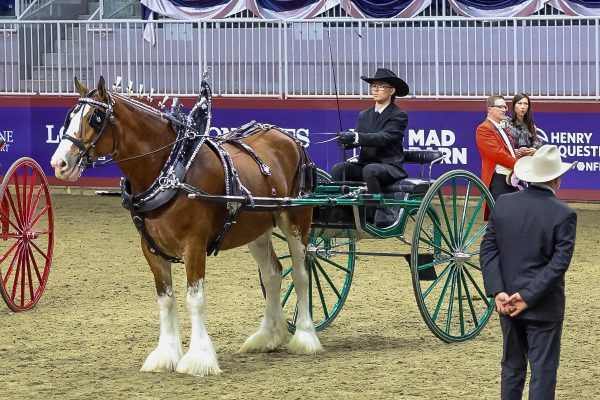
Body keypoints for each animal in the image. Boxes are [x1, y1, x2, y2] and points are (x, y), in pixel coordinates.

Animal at [50, 77, 324, 376]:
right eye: (70, 117)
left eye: (95, 118)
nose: (59, 164)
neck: (171, 171)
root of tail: (288, 138)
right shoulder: (151, 249)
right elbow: (166, 300)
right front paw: (166, 354)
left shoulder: (194, 245)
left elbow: (195, 298)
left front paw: (198, 358)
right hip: (258, 228)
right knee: (273, 274)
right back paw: (266, 336)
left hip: (296, 219)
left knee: (301, 274)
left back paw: (305, 337)